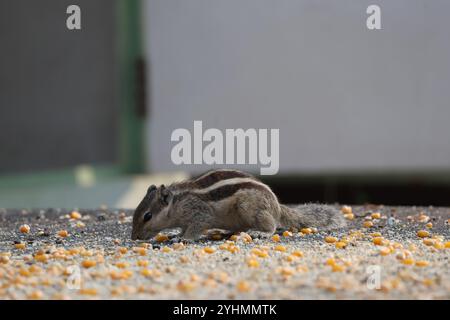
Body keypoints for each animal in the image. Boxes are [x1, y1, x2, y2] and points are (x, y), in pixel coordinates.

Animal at [130, 170, 344, 240]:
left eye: (147, 216)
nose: (134, 238)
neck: (177, 203)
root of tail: (277, 206)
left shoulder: (199, 214)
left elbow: (195, 227)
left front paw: (184, 238)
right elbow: (183, 228)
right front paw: (176, 235)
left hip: (250, 208)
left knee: (271, 225)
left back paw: (262, 232)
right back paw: (227, 232)